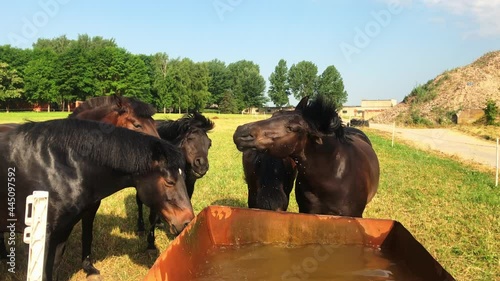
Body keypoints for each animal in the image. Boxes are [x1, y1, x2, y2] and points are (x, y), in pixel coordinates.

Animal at [0, 118, 193, 280]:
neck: (60, 165)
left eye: (184, 178)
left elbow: (54, 266)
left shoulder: (63, 230)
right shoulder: (40, 236)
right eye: (169, 181)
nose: (187, 221)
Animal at [136, 112, 214, 250]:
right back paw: (140, 227)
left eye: (209, 144)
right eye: (190, 138)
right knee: (139, 202)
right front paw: (150, 243)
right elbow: (151, 216)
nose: (202, 166)